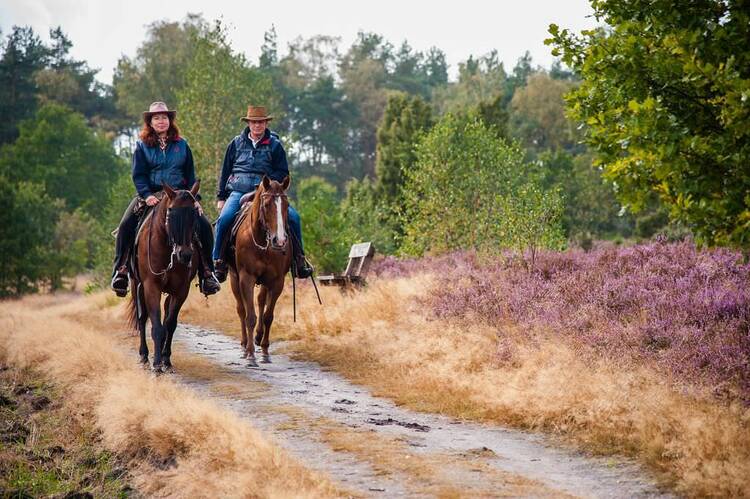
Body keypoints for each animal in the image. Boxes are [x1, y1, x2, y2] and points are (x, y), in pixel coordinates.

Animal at [128, 182, 201, 374]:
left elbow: (170, 324)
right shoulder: (151, 286)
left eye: (194, 215)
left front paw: (165, 360)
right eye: (170, 213)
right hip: (136, 285)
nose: (185, 254)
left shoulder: (181, 290)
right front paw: (156, 364)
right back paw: (144, 356)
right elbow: (156, 325)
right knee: (142, 318)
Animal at [232, 176, 294, 368]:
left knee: (260, 301)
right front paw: (251, 355)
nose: (279, 241)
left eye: (287, 205)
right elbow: (250, 316)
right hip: (234, 278)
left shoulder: (276, 281)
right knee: (241, 310)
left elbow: (268, 316)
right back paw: (245, 345)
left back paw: (258, 338)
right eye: (266, 205)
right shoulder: (246, 278)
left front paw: (265, 352)